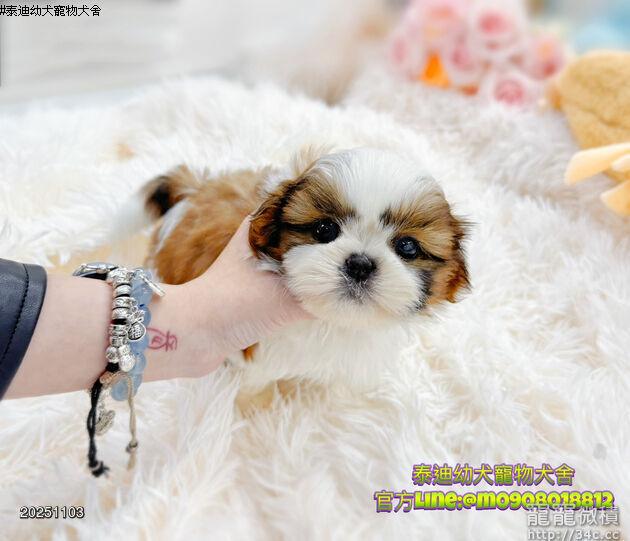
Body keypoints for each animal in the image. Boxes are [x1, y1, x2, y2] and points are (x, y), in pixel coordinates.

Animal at [144, 147, 469, 404]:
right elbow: (255, 386)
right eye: (324, 230)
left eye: (407, 247)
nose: (360, 264)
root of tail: (195, 190)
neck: (334, 323)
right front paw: (256, 409)